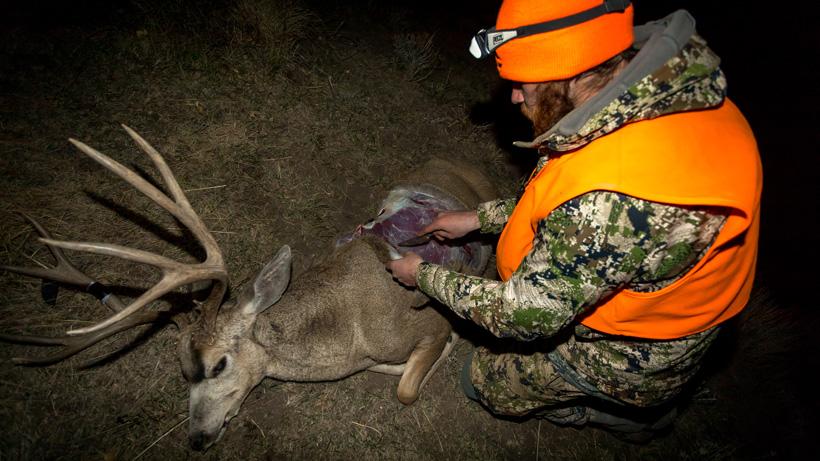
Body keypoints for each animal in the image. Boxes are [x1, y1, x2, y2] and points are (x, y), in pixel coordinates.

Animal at [0, 126, 497, 451]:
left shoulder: (428, 326)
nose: (197, 438)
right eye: (182, 371)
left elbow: (407, 387)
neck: (351, 326)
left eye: (218, 364)